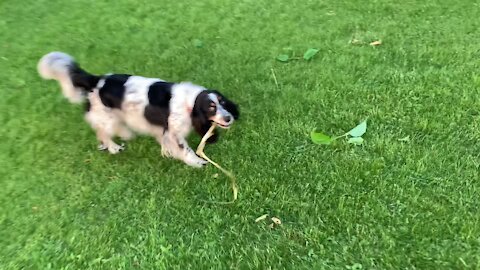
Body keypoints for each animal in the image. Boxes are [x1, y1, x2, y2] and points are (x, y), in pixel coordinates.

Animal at [37, 51, 240, 168]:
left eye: (222, 102)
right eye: (211, 108)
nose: (228, 118)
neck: (190, 103)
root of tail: (96, 80)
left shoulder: (162, 129)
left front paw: (167, 152)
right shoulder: (174, 132)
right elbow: (185, 150)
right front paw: (197, 162)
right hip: (106, 117)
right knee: (102, 131)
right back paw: (113, 147)